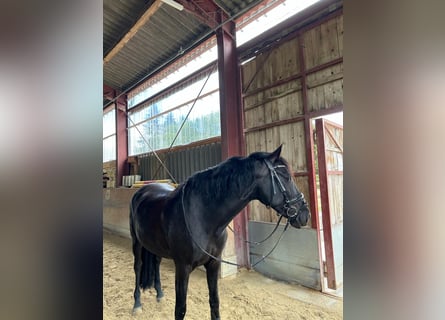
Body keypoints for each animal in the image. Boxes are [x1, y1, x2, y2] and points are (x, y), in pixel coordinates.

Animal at [128, 146, 308, 318]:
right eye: (285, 176)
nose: (305, 214)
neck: (202, 216)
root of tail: (144, 190)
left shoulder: (214, 264)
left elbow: (214, 302)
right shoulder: (182, 267)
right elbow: (180, 309)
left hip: (155, 247)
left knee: (156, 263)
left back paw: (159, 294)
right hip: (136, 243)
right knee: (137, 267)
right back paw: (137, 304)